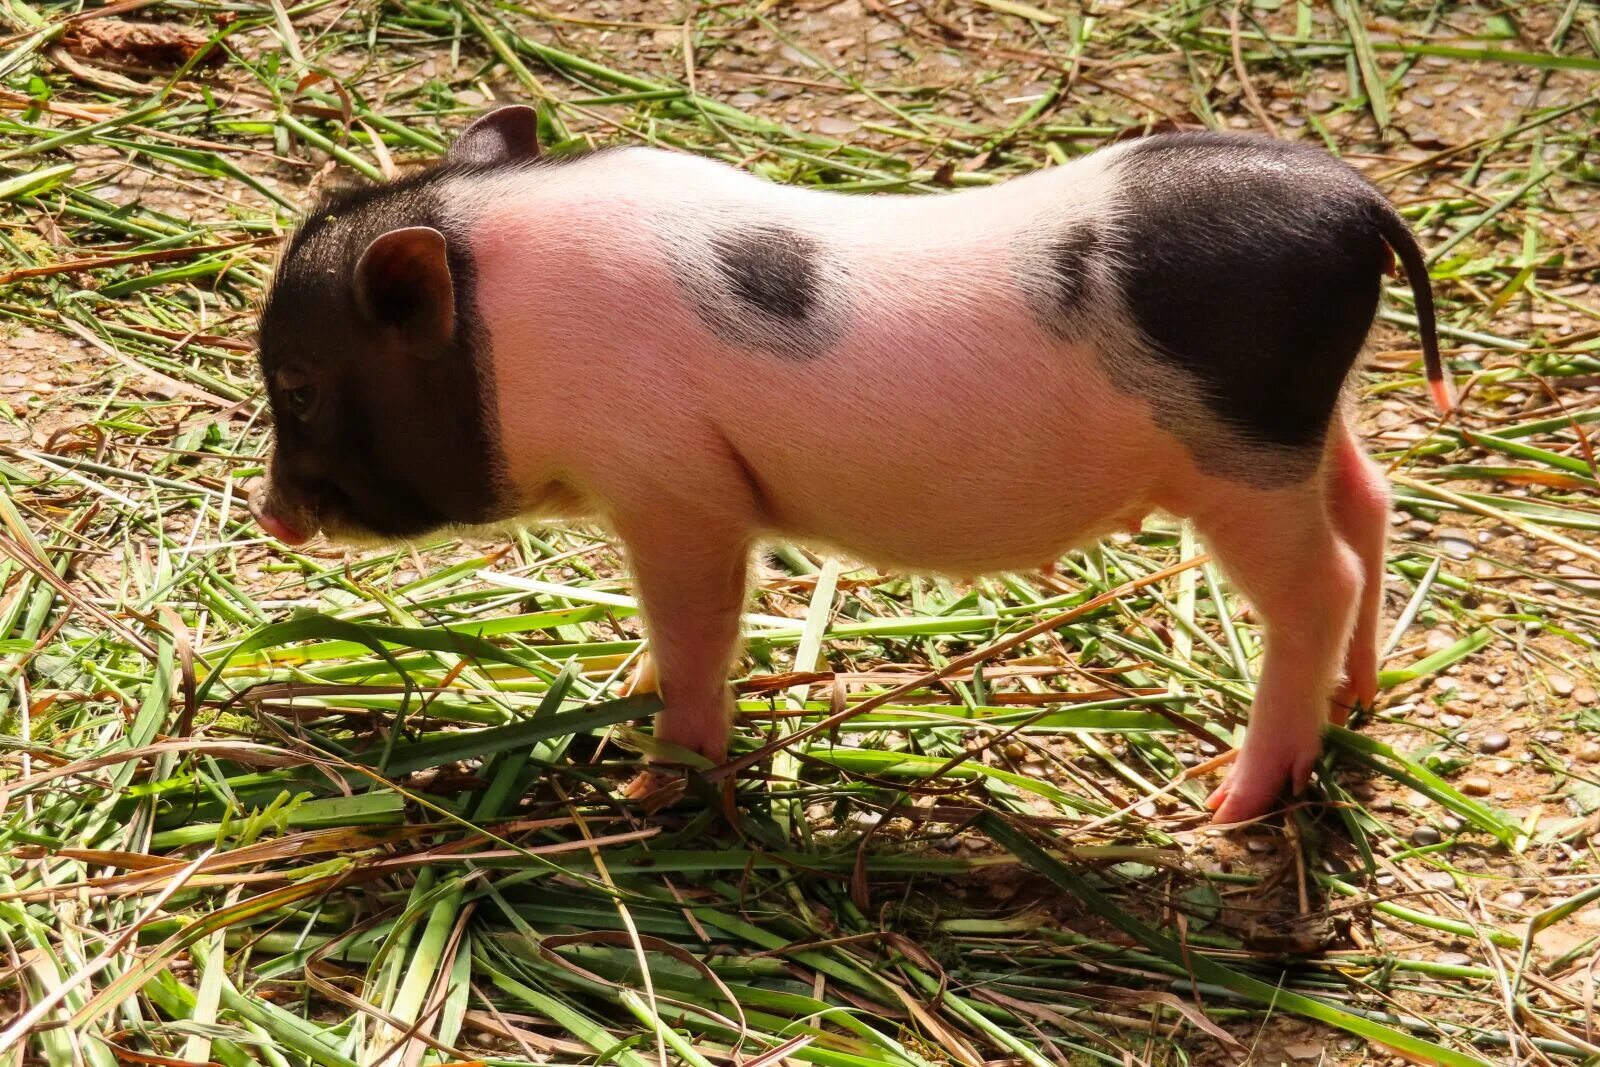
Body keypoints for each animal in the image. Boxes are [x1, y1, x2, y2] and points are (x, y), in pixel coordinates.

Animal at [250, 105, 1448, 824]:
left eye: (299, 386)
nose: (270, 518)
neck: (511, 329)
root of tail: (1356, 202)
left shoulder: (676, 489)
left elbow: (698, 632)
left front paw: (648, 789)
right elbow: (669, 634)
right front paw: (622, 693)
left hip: (1238, 461)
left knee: (1321, 580)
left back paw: (1223, 804)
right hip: (1302, 428)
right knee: (1370, 498)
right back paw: (1358, 701)